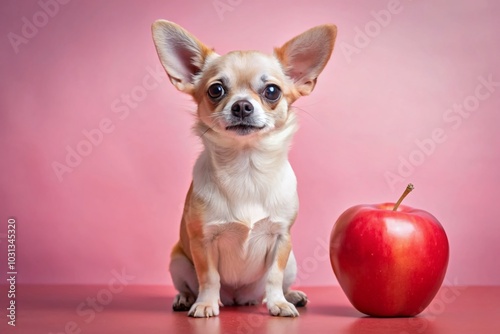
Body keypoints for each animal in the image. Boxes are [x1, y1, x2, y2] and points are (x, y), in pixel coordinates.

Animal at [151, 19, 336, 318]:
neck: (246, 167)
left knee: (275, 285)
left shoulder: (282, 239)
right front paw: (205, 303)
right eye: (216, 90)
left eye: (272, 91)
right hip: (177, 260)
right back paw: (186, 298)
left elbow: (274, 276)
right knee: (190, 283)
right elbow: (209, 277)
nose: (241, 106)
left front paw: (278, 304)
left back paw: (290, 295)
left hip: (291, 261)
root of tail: (239, 298)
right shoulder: (202, 241)